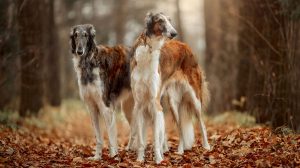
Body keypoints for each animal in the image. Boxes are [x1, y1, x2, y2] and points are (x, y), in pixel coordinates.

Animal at [71, 24, 132, 160]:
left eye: (86, 35)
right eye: (76, 35)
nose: (79, 51)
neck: (89, 62)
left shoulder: (106, 106)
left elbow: (110, 135)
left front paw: (114, 156)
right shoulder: (92, 107)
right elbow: (98, 137)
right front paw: (97, 157)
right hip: (129, 106)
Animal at [131, 12, 211, 163]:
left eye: (169, 20)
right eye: (160, 20)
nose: (174, 33)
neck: (149, 49)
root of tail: (185, 45)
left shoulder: (155, 103)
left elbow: (156, 138)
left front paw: (158, 159)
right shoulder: (138, 105)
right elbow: (141, 140)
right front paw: (139, 159)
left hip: (195, 98)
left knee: (202, 124)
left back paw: (207, 146)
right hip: (173, 102)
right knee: (180, 128)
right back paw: (180, 150)